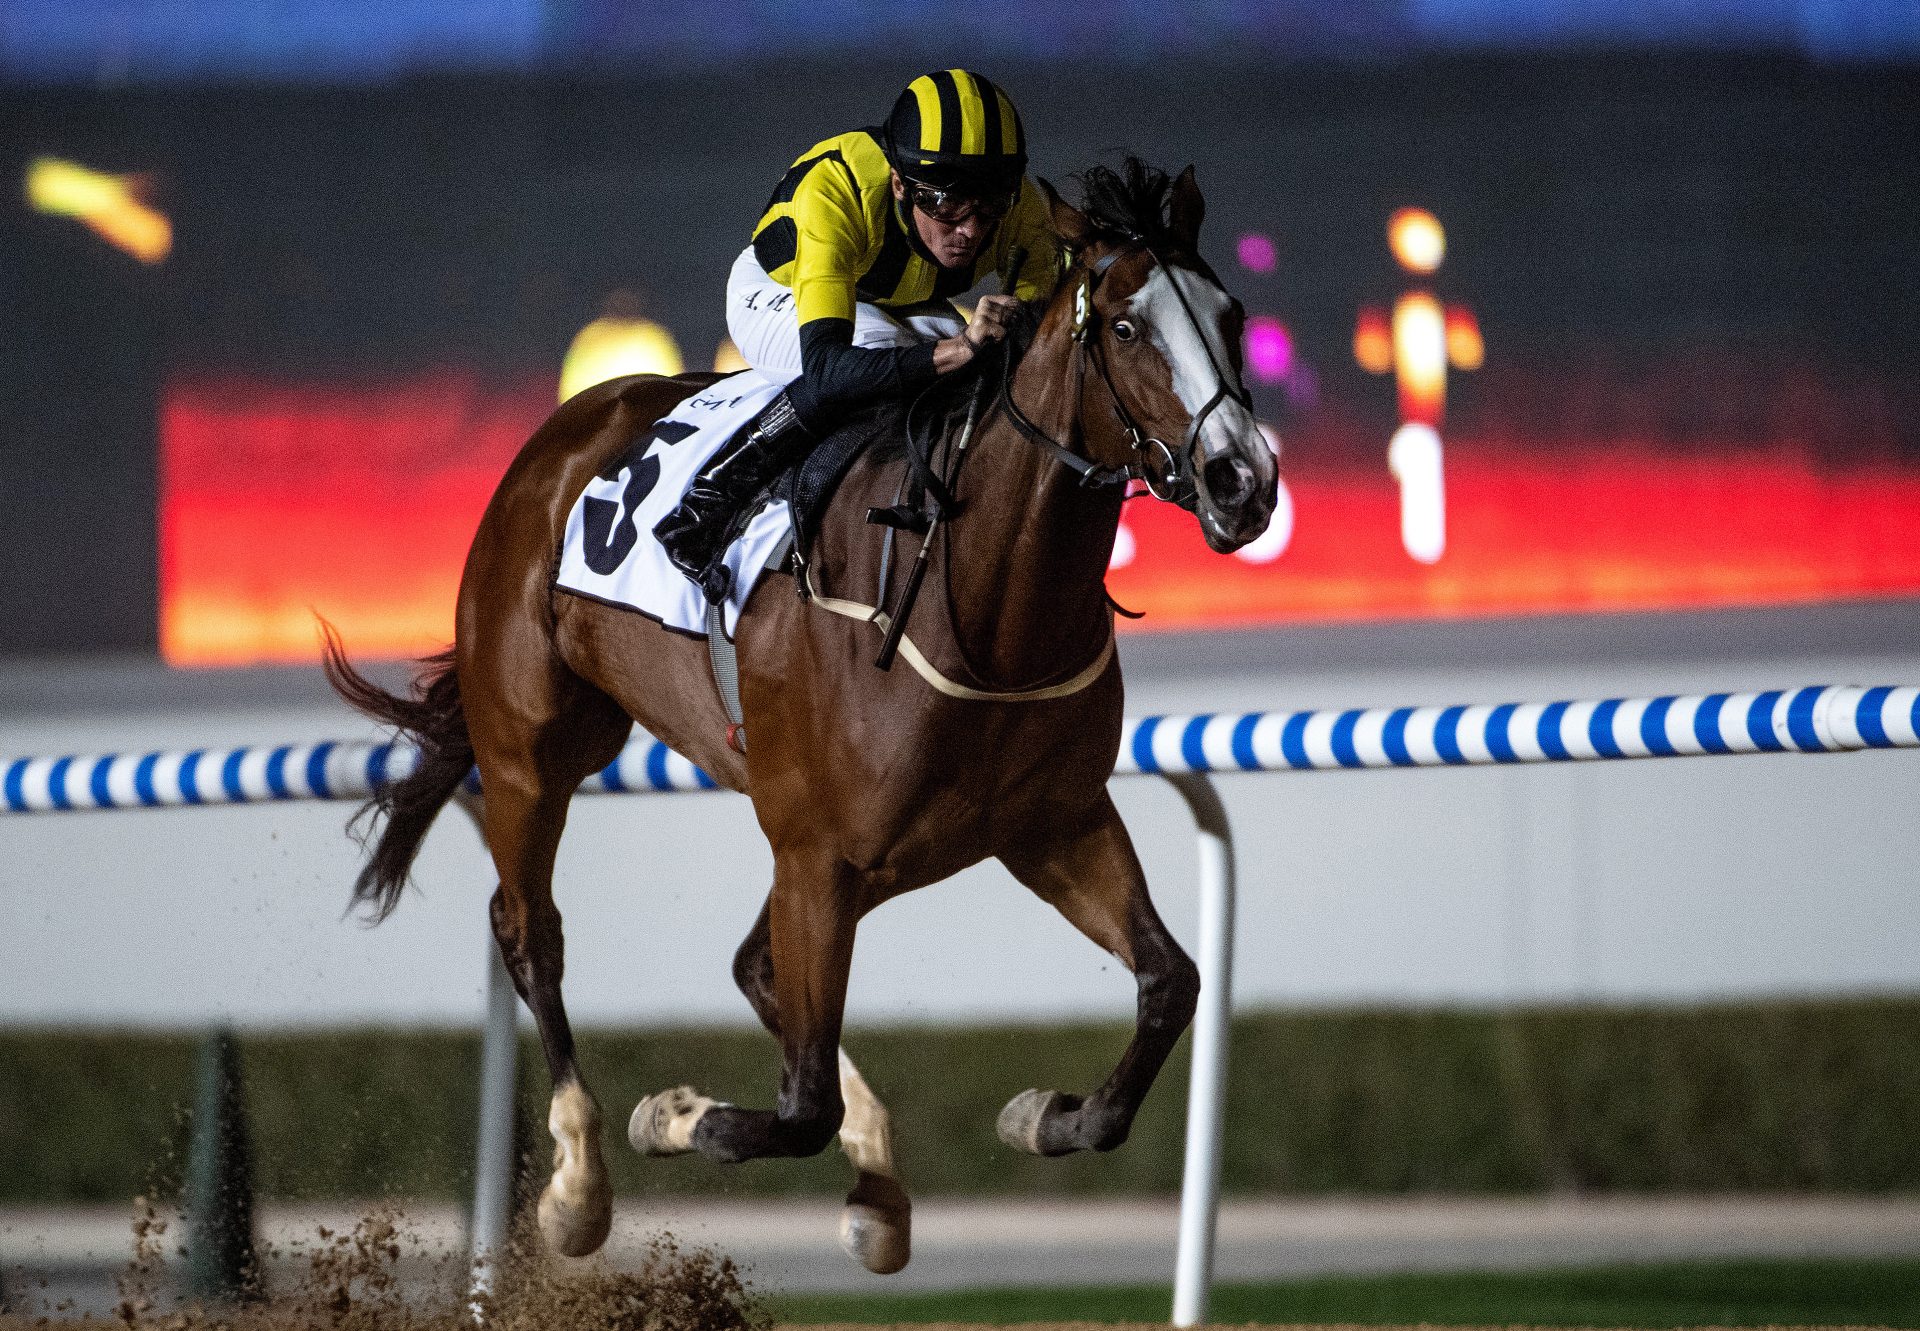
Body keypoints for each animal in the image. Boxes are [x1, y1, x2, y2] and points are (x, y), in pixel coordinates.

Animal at [324, 161, 1282, 1275]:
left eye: (1232, 313)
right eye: (1127, 327)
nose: (1242, 479)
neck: (978, 596)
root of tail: (563, 432)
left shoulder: (1047, 823)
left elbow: (1170, 979)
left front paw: (1051, 1113)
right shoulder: (821, 849)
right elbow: (798, 1104)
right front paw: (675, 1116)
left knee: (757, 966)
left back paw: (877, 1189)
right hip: (537, 750)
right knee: (532, 931)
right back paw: (580, 1183)